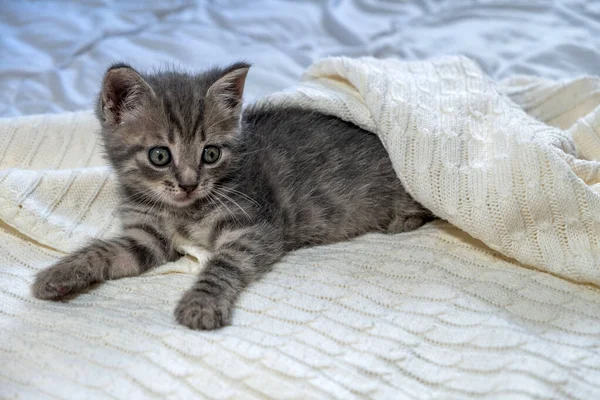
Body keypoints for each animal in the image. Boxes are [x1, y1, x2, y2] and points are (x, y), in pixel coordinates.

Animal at [30, 62, 434, 330]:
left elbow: (221, 266)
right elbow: (106, 250)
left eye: (210, 153)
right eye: (159, 156)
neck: (182, 210)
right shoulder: (148, 237)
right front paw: (59, 273)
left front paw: (201, 305)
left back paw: (402, 219)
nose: (189, 184)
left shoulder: (253, 228)